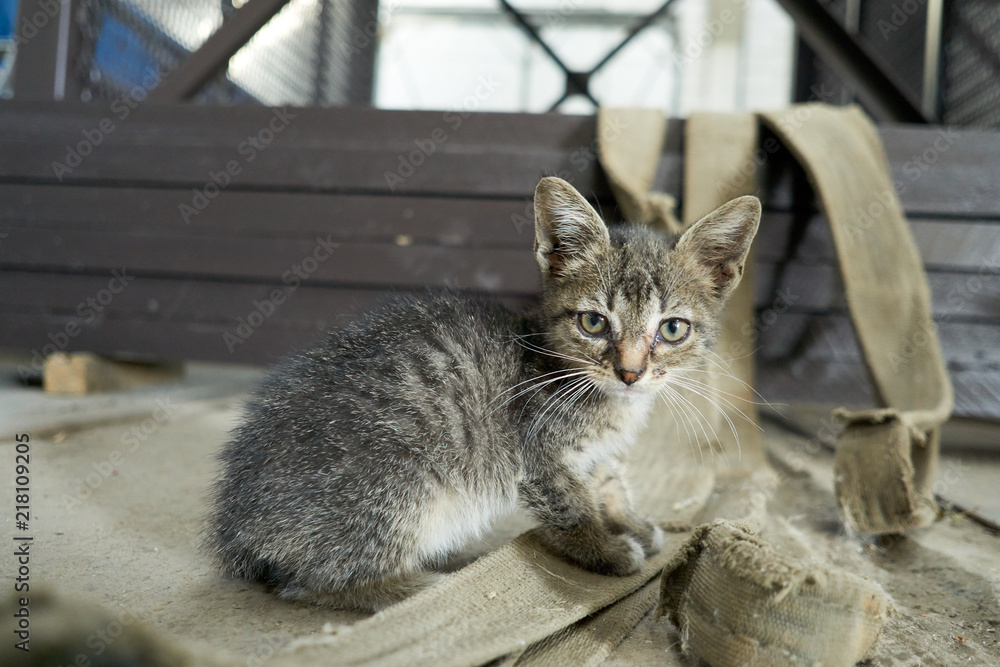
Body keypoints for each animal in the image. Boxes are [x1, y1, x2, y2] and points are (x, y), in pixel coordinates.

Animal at [207, 176, 760, 612]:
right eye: (594, 322)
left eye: (672, 329)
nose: (630, 372)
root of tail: (236, 523)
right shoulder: (537, 454)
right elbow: (571, 506)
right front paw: (605, 549)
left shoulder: (596, 452)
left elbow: (607, 482)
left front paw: (631, 522)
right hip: (399, 488)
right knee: (312, 583)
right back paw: (421, 586)